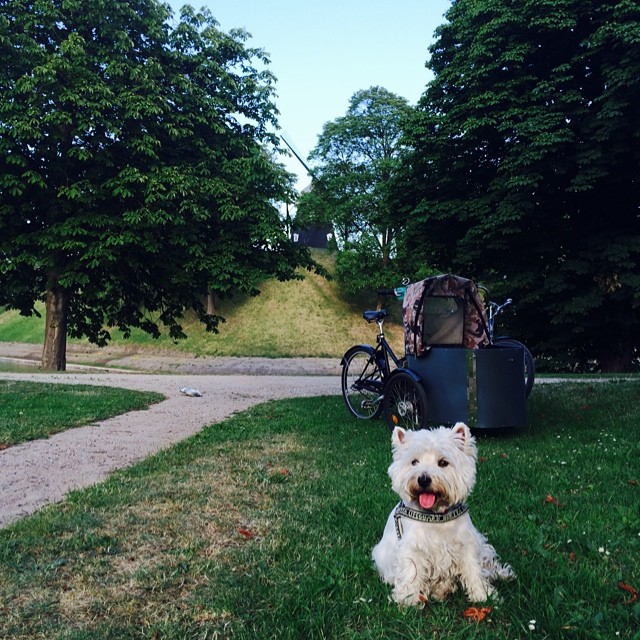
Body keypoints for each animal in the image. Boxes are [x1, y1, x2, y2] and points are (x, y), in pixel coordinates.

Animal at [370, 422, 516, 604]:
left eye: (443, 462)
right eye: (414, 462)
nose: (423, 479)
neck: (436, 516)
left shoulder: (466, 544)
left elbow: (474, 569)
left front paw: (484, 595)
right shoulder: (412, 548)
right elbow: (411, 572)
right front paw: (408, 600)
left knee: (487, 562)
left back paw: (503, 574)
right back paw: (442, 590)